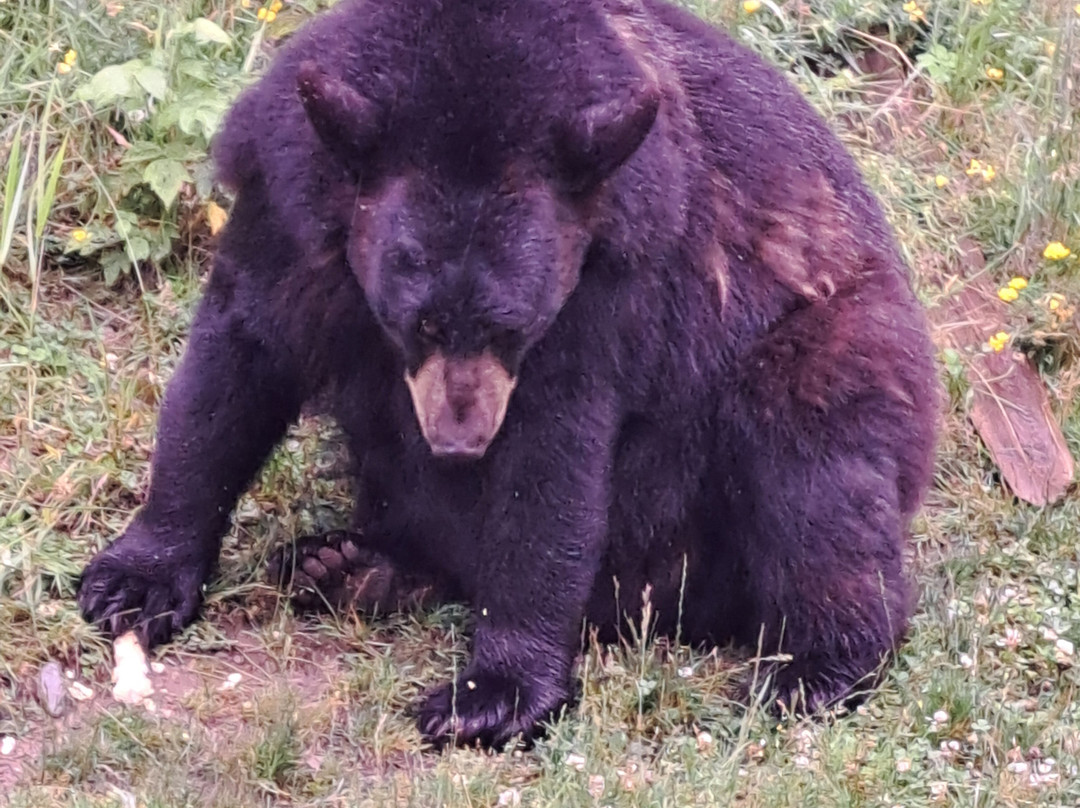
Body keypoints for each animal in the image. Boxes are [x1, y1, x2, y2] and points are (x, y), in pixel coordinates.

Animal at [78, 0, 939, 749]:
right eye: (420, 321)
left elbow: (552, 460)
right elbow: (234, 365)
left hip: (824, 348)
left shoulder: (607, 284)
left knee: (815, 478)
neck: (472, 78)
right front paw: (133, 580)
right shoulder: (287, 205)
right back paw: (351, 566)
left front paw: (489, 696)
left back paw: (813, 669)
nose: (460, 443)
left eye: (510, 326)